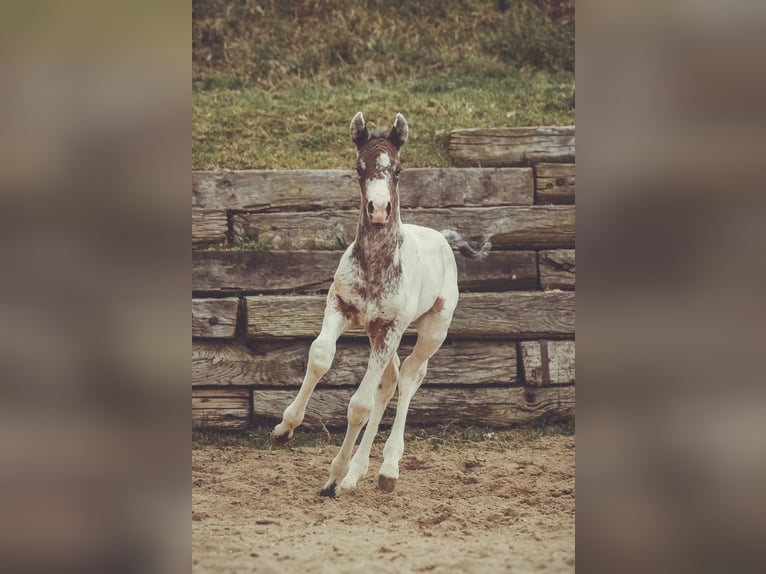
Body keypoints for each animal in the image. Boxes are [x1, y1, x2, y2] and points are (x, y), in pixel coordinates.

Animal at [271, 112, 490, 497]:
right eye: (359, 168)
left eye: (399, 169)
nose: (378, 210)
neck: (376, 263)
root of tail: (443, 238)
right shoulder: (341, 305)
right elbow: (320, 356)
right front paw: (285, 428)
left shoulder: (390, 328)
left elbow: (359, 404)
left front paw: (334, 477)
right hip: (377, 333)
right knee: (389, 382)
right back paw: (358, 473)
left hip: (430, 329)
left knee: (411, 376)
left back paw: (387, 469)